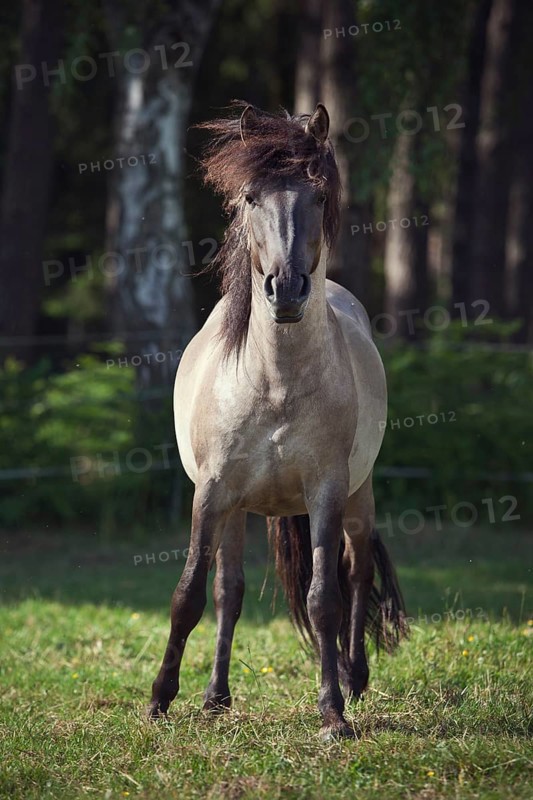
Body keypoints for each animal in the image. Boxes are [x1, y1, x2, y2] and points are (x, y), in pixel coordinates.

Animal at [148, 102, 407, 739]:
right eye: (249, 198)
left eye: (318, 194)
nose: (285, 289)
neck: (274, 384)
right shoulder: (212, 493)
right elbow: (192, 593)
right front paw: (161, 700)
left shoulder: (326, 491)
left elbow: (323, 600)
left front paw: (333, 712)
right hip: (238, 509)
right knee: (230, 591)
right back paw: (216, 696)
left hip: (360, 495)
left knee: (355, 571)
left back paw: (354, 677)